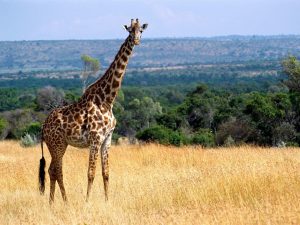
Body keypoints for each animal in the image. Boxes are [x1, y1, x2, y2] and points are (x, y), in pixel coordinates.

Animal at [38, 18, 148, 203]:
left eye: (141, 30)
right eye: (129, 30)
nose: (136, 40)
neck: (107, 100)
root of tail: (43, 127)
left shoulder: (107, 139)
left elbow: (106, 173)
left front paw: (107, 200)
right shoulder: (95, 139)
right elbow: (91, 173)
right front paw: (87, 201)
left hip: (61, 144)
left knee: (52, 170)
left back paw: (53, 202)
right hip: (56, 144)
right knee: (57, 170)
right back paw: (64, 201)